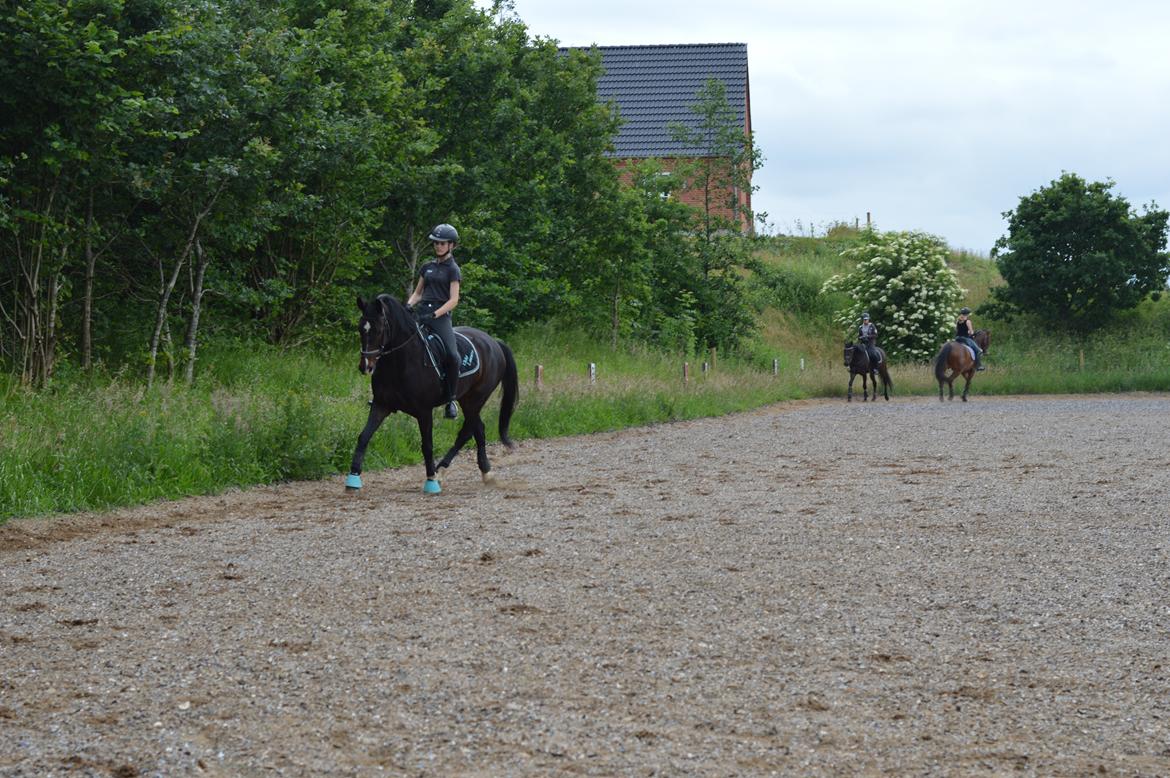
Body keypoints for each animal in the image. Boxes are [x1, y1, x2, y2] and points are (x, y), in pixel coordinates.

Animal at [347, 294, 518, 494]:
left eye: (379, 329)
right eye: (361, 328)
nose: (365, 366)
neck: (401, 362)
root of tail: (493, 342)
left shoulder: (424, 411)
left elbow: (427, 445)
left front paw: (431, 481)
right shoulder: (381, 405)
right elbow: (364, 436)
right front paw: (353, 479)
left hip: (476, 398)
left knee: (468, 431)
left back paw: (453, 471)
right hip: (467, 399)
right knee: (477, 429)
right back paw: (471, 471)